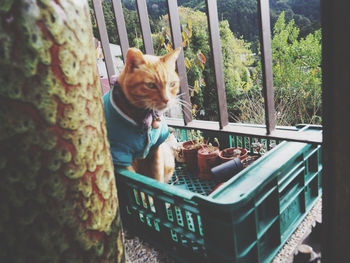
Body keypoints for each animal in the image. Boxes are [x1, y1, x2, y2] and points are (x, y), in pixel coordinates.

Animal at [102, 47, 180, 184]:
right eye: (150, 85)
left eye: (172, 84)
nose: (167, 100)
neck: (145, 117)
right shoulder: (121, 154)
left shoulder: (155, 150)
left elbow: (156, 178)